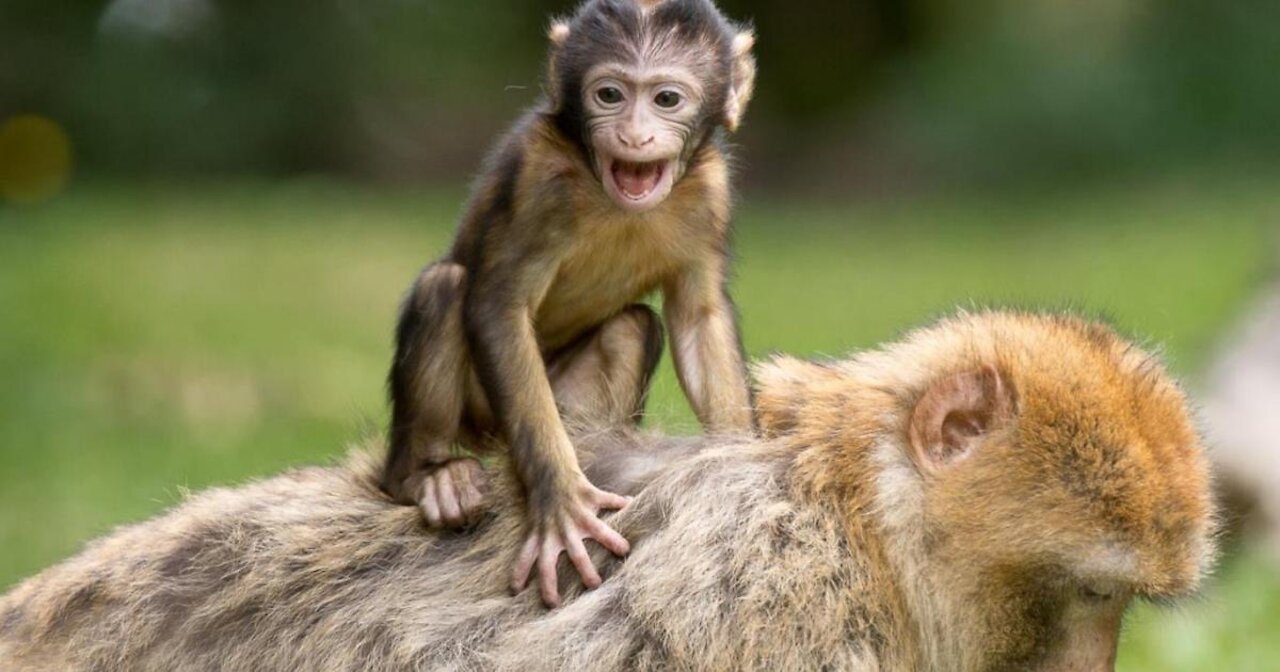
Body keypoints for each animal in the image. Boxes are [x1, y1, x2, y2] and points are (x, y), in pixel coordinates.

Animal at [382, 0, 758, 606]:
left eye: (666, 99)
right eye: (609, 95)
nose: (633, 135)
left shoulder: (710, 192)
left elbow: (698, 318)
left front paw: (737, 470)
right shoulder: (539, 177)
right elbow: (499, 306)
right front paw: (559, 502)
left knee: (631, 327)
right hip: (482, 416)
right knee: (446, 287)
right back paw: (427, 475)